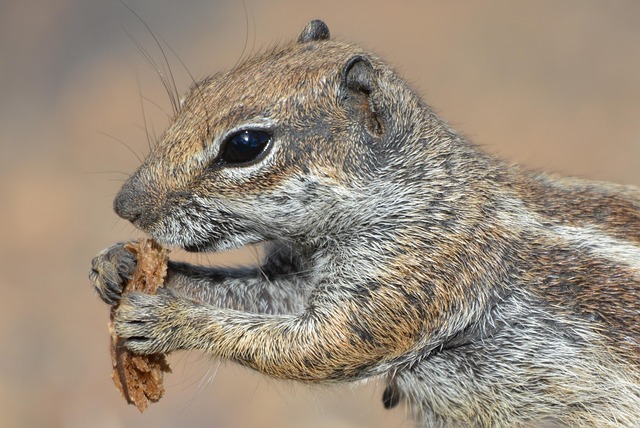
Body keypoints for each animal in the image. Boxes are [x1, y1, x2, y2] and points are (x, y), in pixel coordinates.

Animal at [90, 20, 640, 427]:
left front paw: (167, 320)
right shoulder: (301, 277)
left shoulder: (411, 275)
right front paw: (117, 265)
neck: (420, 189)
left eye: (245, 145)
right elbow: (252, 296)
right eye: (198, 91)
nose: (124, 205)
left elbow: (314, 346)